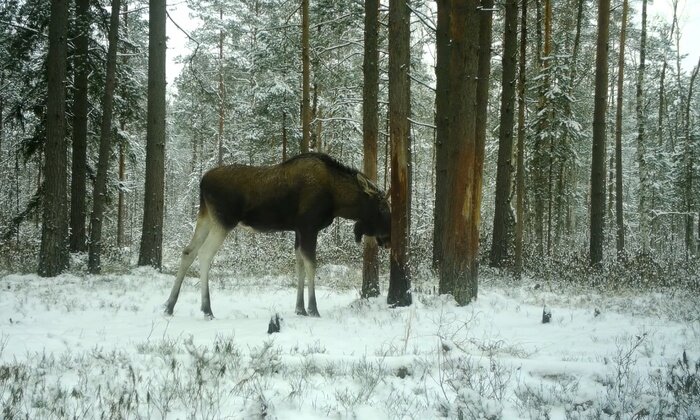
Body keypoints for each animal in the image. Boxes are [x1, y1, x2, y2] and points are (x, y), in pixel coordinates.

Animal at [166, 153, 392, 318]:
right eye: (382, 208)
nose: (389, 239)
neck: (337, 201)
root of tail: (202, 182)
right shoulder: (309, 227)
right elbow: (311, 265)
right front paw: (313, 308)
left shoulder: (298, 230)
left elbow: (300, 265)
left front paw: (300, 308)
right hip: (224, 221)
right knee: (204, 254)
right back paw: (207, 309)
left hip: (206, 217)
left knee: (188, 251)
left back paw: (169, 305)